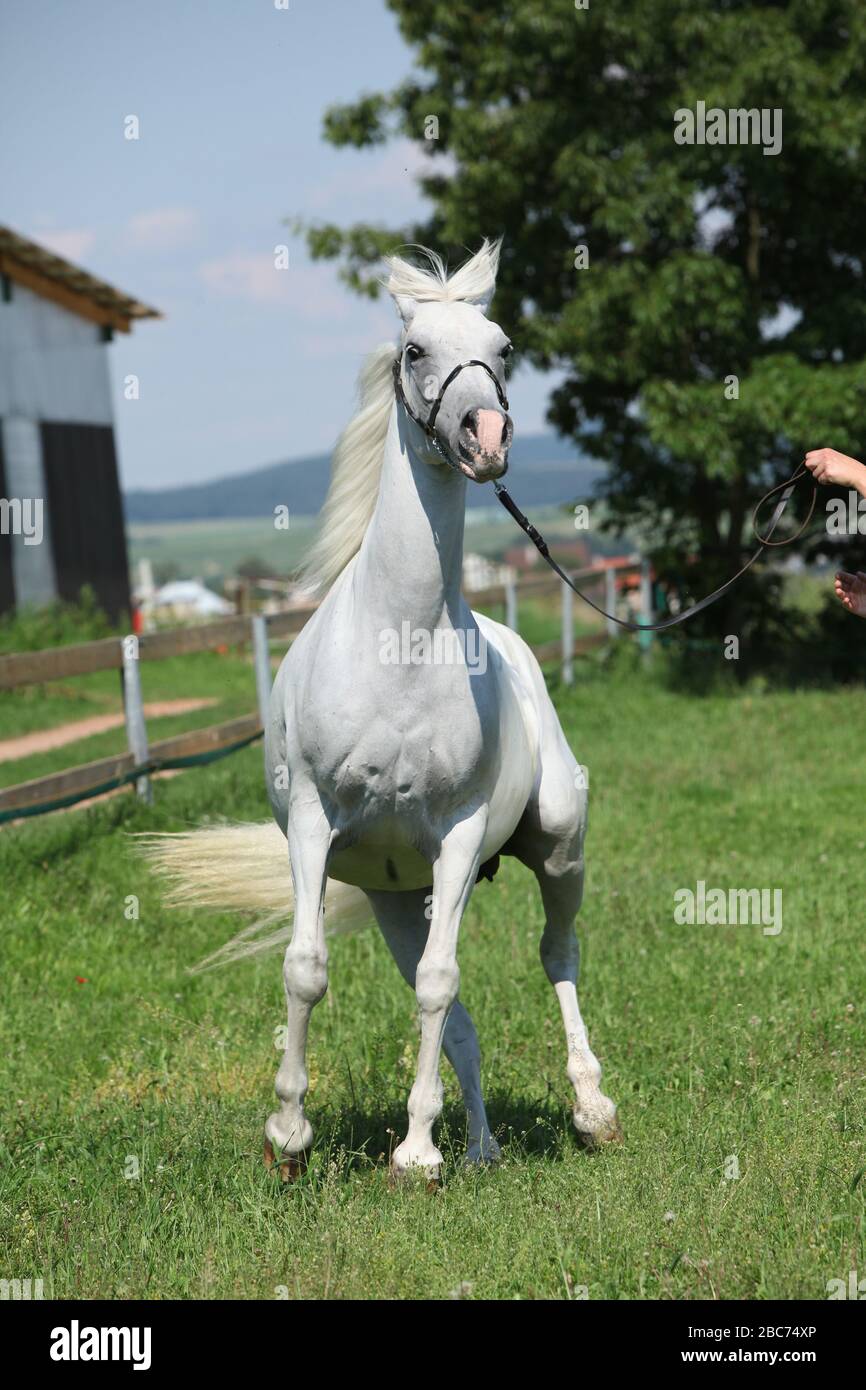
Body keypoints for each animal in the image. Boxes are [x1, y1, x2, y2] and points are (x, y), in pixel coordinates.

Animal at [150, 244, 622, 1178]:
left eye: (503, 346)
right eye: (414, 351)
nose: (486, 437)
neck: (401, 642)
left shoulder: (460, 834)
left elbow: (440, 985)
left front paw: (412, 1154)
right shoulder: (313, 821)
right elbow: (308, 969)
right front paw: (290, 1136)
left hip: (556, 846)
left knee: (557, 953)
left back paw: (589, 1111)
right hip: (405, 900)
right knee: (462, 1011)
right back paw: (480, 1148)